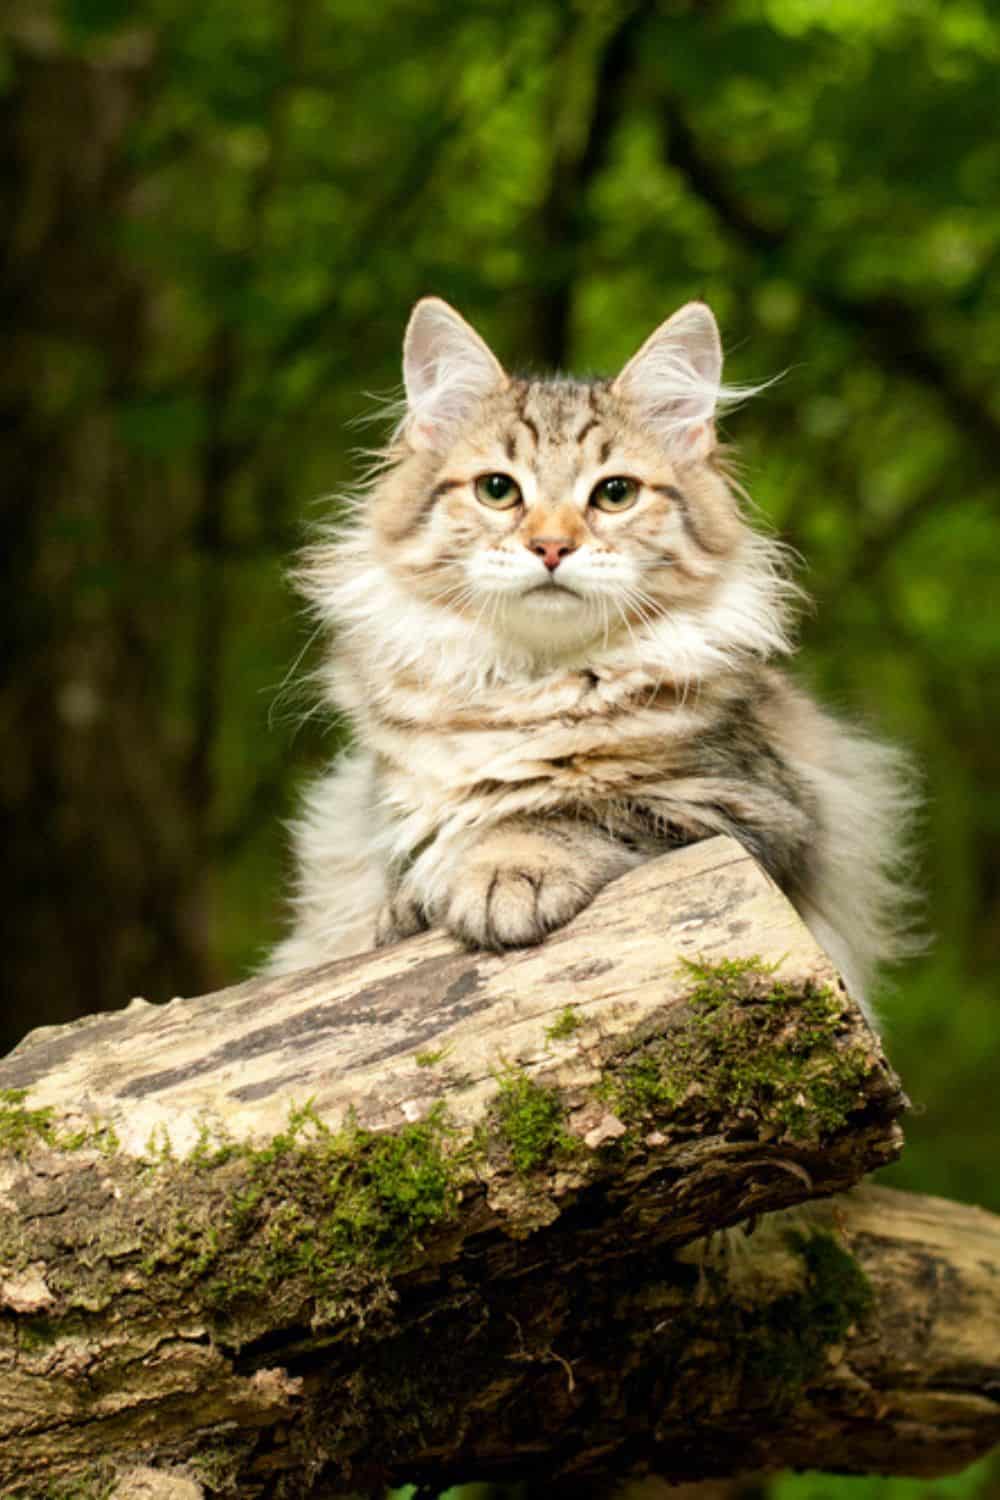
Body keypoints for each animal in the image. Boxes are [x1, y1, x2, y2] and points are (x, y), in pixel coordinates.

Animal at [268, 292, 923, 1020]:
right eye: (498, 489)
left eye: (615, 494)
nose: (552, 547)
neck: (531, 686)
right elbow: (415, 861)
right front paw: (415, 902)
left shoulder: (754, 808)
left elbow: (564, 811)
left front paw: (503, 870)